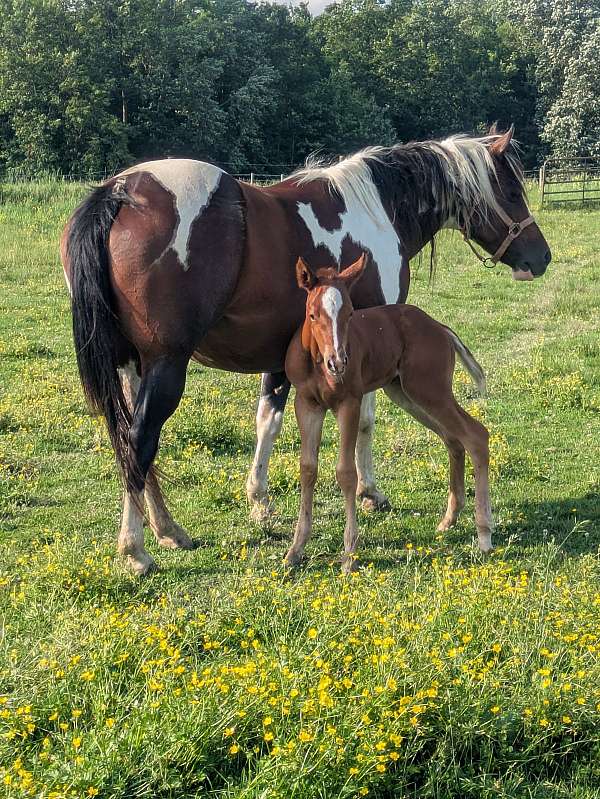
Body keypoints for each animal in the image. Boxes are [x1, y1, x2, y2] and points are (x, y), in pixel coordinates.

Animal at [285, 253, 490, 572]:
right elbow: (307, 469)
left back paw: (484, 536)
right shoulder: (306, 404)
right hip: (406, 393)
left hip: (430, 390)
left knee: (476, 435)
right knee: (453, 439)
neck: (318, 364)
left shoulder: (350, 402)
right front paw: (295, 549)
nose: (338, 363)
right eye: (313, 314)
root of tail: (440, 327)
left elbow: (346, 472)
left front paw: (349, 554)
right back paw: (450, 518)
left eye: (350, 313)